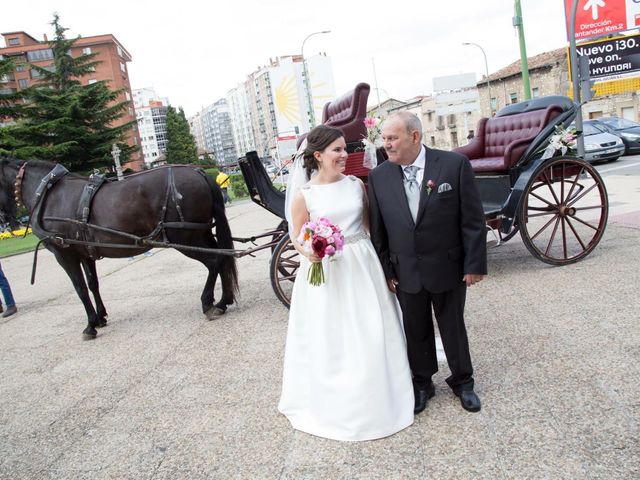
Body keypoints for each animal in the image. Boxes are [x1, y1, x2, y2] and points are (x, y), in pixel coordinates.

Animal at [0, 158, 238, 338]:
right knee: (223, 257)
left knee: (214, 260)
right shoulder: (85, 252)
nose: (7, 223)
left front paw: (90, 324)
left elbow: (80, 288)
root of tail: (199, 172)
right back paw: (224, 300)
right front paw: (100, 317)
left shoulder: (65, 254)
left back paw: (209, 302)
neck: (48, 194)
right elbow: (93, 284)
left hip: (185, 238)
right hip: (200, 233)